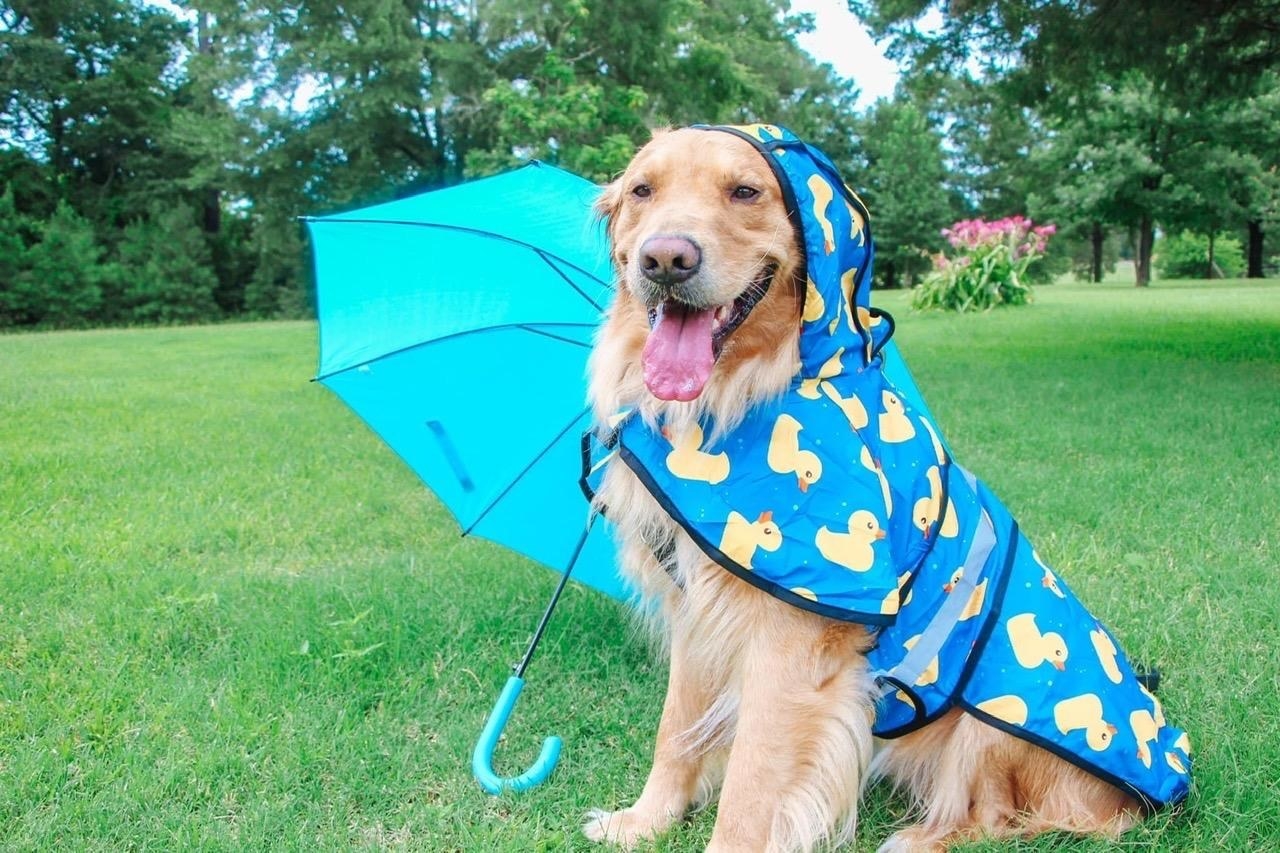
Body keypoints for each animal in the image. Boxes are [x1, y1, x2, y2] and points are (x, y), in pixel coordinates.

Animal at [581, 128, 1152, 850]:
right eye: (642, 190)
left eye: (745, 191)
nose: (665, 259)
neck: (755, 388)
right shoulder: (698, 608)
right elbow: (675, 730)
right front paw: (645, 819)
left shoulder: (792, 639)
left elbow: (750, 783)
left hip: (993, 722)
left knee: (1002, 818)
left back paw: (919, 838)